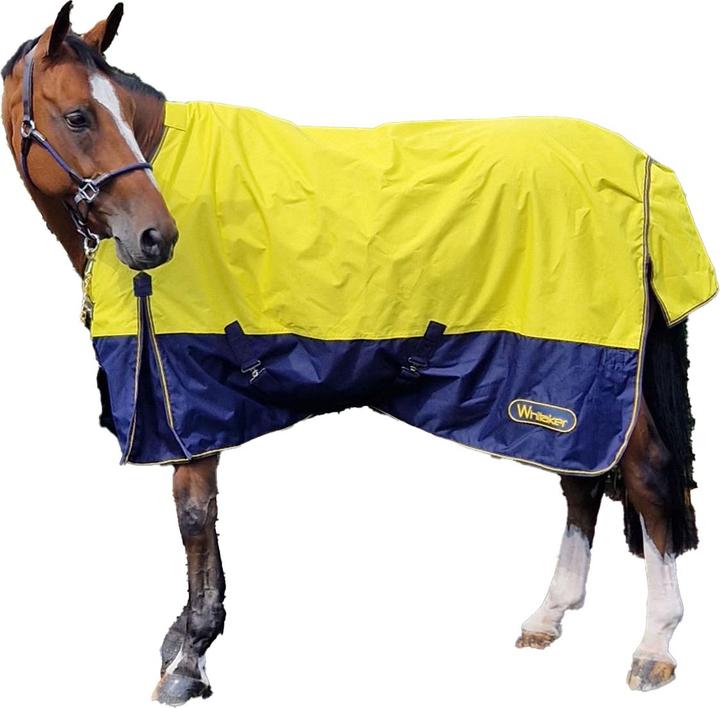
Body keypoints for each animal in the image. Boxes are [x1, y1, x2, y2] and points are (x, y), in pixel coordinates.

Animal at [2, 3, 716, 705]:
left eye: (116, 114)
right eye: (78, 116)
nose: (157, 236)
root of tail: (644, 166)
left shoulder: (192, 399)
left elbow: (195, 518)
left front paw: (192, 658)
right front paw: (181, 640)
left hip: (584, 366)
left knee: (646, 474)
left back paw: (655, 646)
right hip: (561, 385)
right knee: (583, 478)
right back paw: (549, 615)